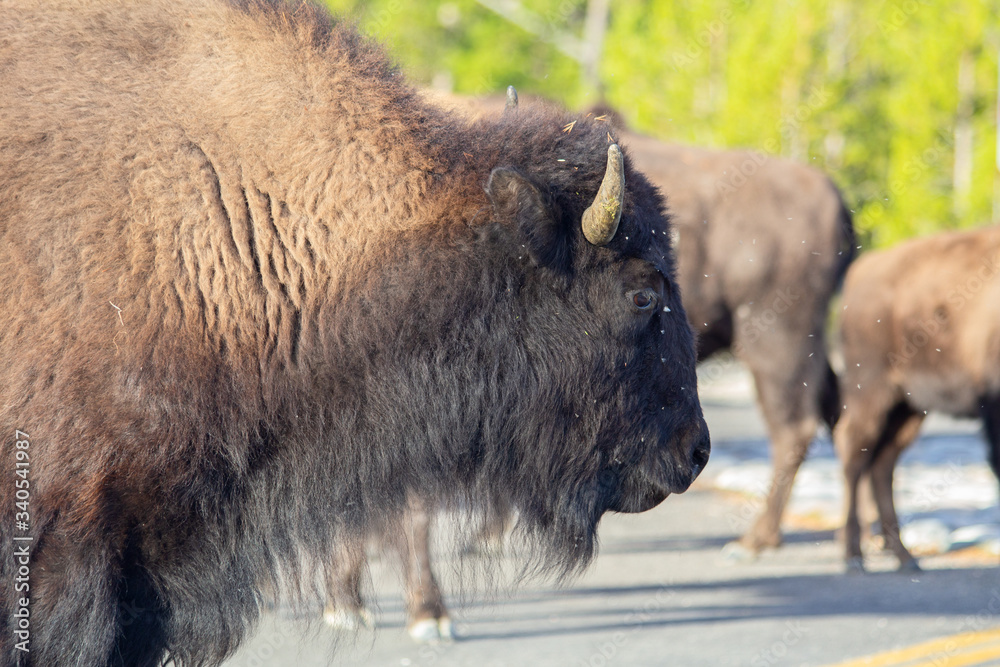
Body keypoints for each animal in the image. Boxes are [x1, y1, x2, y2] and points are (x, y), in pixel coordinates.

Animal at [834, 225, 1000, 572]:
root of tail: (862, 270)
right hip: (872, 392)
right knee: (854, 454)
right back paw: (853, 556)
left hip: (908, 407)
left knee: (881, 463)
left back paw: (904, 556)